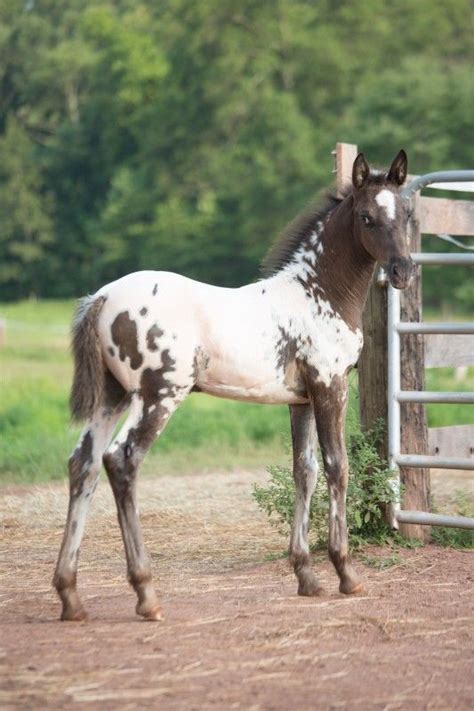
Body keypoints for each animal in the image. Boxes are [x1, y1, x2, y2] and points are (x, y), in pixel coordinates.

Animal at [53, 153, 412, 620]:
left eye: (406, 213)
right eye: (367, 217)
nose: (403, 271)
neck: (317, 293)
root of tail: (101, 298)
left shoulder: (300, 401)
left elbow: (305, 471)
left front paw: (306, 577)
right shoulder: (330, 387)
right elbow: (338, 467)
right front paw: (346, 573)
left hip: (112, 398)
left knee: (84, 464)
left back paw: (70, 596)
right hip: (158, 396)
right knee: (121, 460)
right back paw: (146, 594)